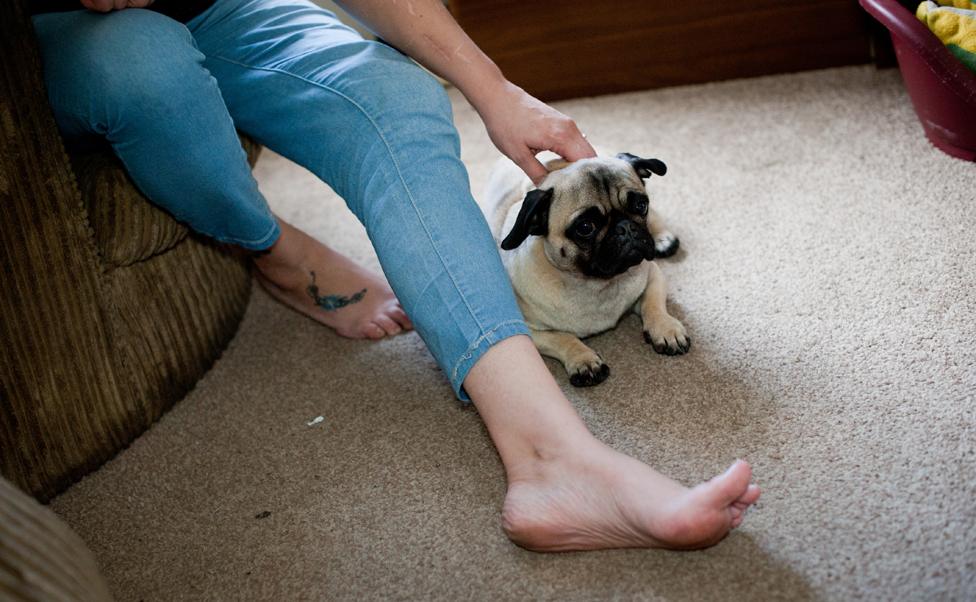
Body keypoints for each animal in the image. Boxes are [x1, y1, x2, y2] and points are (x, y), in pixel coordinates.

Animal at [484, 150, 692, 384]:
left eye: (640, 206)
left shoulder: (653, 275)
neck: (596, 285)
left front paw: (665, 328)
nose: (625, 227)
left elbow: (653, 304)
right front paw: (584, 360)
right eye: (585, 227)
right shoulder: (528, 329)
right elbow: (562, 338)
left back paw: (663, 239)